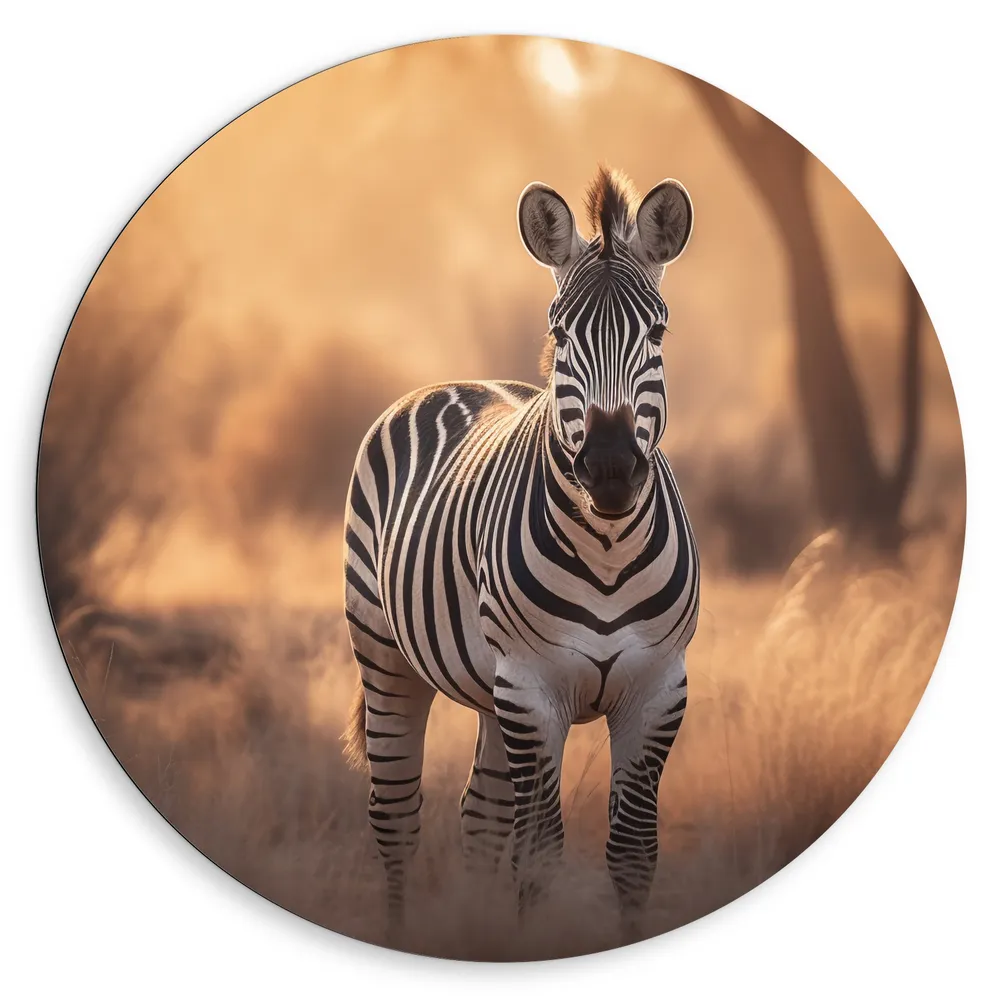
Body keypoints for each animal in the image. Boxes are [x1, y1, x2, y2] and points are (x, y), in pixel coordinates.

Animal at [342, 166, 698, 937]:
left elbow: (633, 853)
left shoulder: (658, 689)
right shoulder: (533, 688)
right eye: (560, 333)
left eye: (657, 331)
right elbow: (538, 856)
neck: (607, 549)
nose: (611, 468)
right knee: (396, 816)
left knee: (479, 815)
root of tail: (458, 380)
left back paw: (482, 938)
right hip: (387, 658)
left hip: (488, 689)